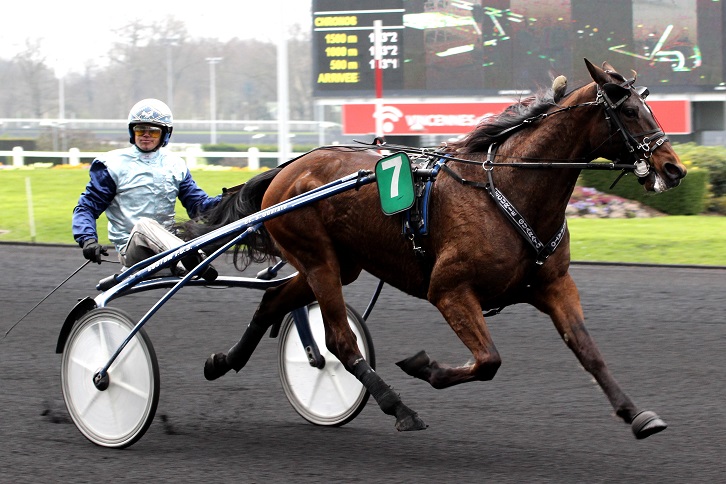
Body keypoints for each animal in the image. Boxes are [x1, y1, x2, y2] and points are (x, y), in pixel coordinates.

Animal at [183, 59, 688, 438]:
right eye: (628, 111)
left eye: (647, 106)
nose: (674, 168)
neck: (509, 189)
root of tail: (288, 168)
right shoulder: (449, 290)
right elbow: (488, 361)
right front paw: (423, 366)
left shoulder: (555, 285)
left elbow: (589, 351)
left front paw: (637, 414)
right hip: (318, 258)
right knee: (340, 339)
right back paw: (399, 407)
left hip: (336, 264)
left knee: (273, 300)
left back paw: (223, 361)